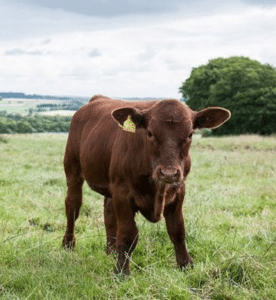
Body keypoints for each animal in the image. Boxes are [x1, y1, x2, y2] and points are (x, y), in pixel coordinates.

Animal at [62, 95, 231, 274]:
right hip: (72, 170)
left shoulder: (179, 190)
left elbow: (177, 229)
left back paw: (111, 250)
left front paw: (185, 264)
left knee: (108, 211)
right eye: (150, 133)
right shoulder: (122, 193)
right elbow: (128, 234)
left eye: (190, 134)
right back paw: (68, 244)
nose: (168, 173)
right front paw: (122, 272)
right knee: (73, 206)